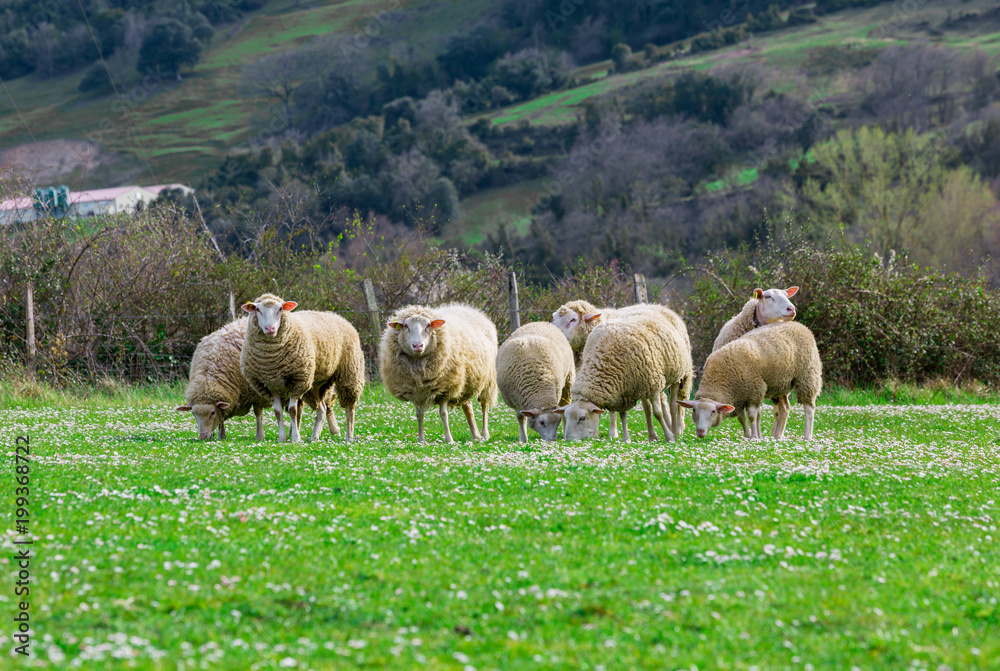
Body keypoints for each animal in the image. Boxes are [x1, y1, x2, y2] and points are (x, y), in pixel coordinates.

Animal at [240, 294, 365, 443]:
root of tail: (337, 316)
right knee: (322, 408)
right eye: (258, 309)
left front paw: (296, 437)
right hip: (315, 384)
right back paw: (314, 436)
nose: (270, 328)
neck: (271, 358)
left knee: (349, 407)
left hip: (350, 371)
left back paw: (349, 435)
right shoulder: (270, 384)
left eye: (280, 309)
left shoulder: (298, 381)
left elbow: (292, 410)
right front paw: (282, 438)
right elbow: (278, 412)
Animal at [380, 303, 498, 444]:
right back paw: (475, 436)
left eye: (428, 326)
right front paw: (421, 439)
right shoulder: (416, 392)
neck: (419, 370)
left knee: (485, 405)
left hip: (488, 380)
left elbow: (443, 414)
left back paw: (485, 434)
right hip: (465, 381)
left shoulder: (445, 388)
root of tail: (467, 308)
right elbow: (419, 414)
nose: (417, 345)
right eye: (406, 326)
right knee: (468, 407)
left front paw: (449, 439)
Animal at [552, 300, 691, 435]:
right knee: (656, 402)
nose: (557, 334)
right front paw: (596, 433)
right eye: (554, 318)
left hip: (680, 373)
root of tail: (658, 306)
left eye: (573, 319)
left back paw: (677, 428)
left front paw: (613, 433)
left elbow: (611, 411)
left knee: (677, 402)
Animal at [679, 320, 822, 440]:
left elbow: (753, 416)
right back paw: (776, 436)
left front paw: (754, 436)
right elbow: (743, 418)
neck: (720, 377)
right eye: (694, 410)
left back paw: (807, 436)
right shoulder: (740, 397)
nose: (700, 431)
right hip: (779, 385)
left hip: (808, 376)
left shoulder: (754, 391)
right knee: (784, 408)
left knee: (809, 408)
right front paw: (750, 435)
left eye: (713, 411)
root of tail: (800, 325)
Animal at [712, 286, 799, 437]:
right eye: (768, 296)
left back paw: (777, 435)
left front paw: (756, 436)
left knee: (782, 409)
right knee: (778, 410)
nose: (791, 309)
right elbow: (745, 415)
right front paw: (751, 435)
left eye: (786, 295)